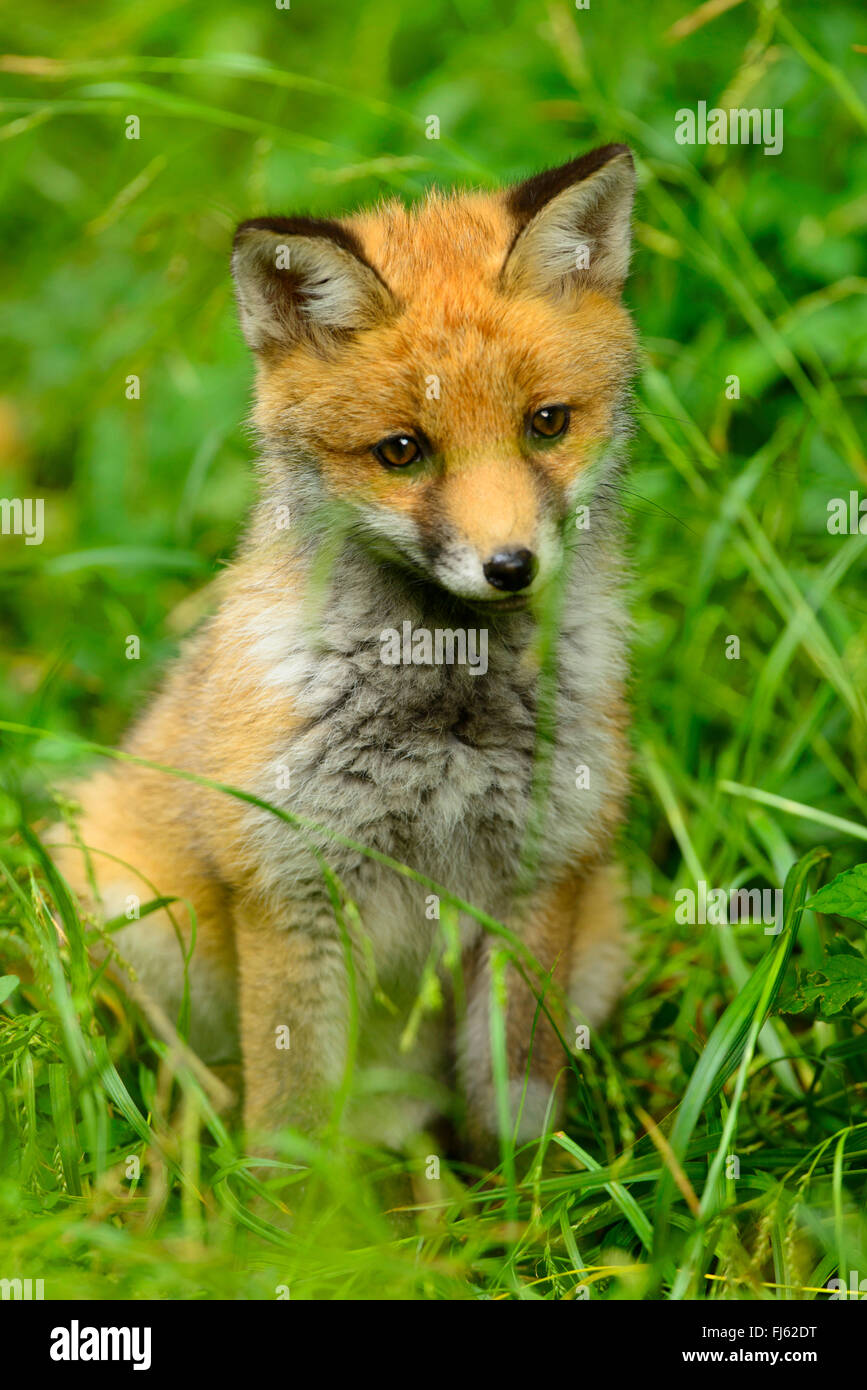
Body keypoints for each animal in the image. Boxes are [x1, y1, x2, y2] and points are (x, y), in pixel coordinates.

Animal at [54, 143, 636, 1162]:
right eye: (402, 451)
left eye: (546, 424)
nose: (510, 566)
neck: (444, 714)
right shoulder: (289, 883)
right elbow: (288, 1127)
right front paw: (295, 1211)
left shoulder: (541, 874)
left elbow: (512, 1111)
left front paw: (526, 1205)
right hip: (127, 911)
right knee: (199, 1080)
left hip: (601, 933)